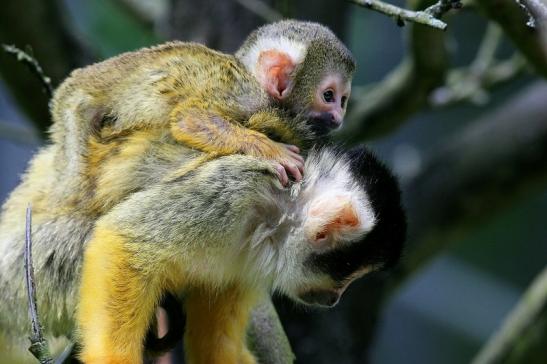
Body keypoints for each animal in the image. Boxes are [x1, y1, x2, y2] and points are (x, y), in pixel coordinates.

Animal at [50, 20, 356, 185]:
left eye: (343, 101)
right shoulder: (245, 95)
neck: (253, 78)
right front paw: (269, 149)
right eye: (328, 96)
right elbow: (189, 118)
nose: (338, 118)